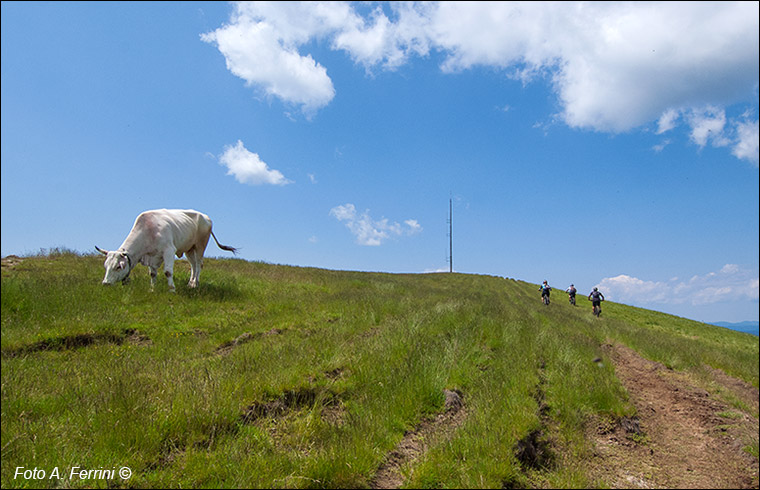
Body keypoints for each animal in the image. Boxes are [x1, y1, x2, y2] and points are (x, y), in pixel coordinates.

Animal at [96, 208, 236, 290]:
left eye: (118, 266)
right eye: (105, 266)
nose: (105, 283)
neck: (148, 231)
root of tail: (206, 217)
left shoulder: (169, 251)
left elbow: (168, 272)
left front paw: (171, 289)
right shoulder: (151, 255)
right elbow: (152, 273)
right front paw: (152, 289)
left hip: (200, 245)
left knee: (199, 264)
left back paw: (195, 284)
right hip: (189, 249)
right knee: (193, 265)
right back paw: (190, 283)